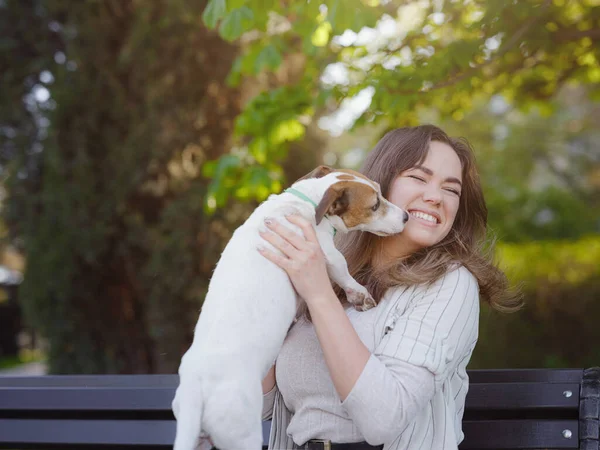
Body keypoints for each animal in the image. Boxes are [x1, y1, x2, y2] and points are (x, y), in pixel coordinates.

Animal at [171, 165, 410, 450]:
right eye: (375, 205)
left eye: (381, 193)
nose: (407, 216)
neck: (309, 200)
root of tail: (196, 387)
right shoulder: (326, 252)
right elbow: (343, 271)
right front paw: (359, 294)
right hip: (242, 432)